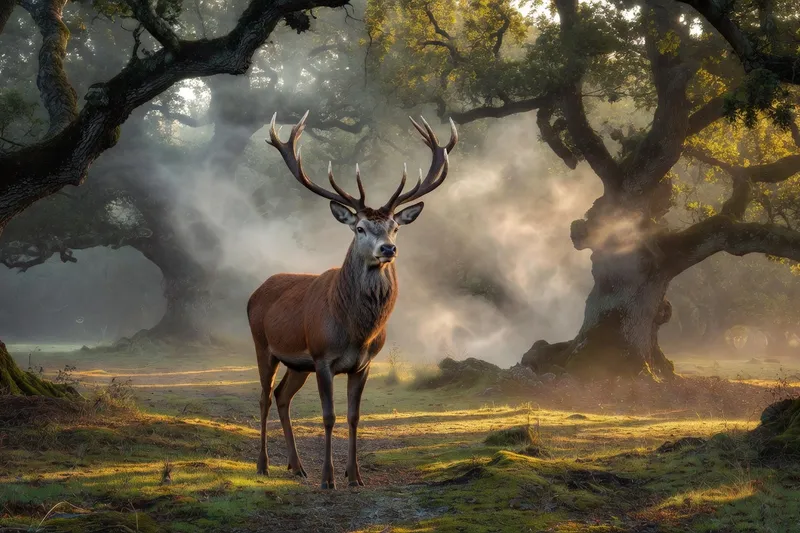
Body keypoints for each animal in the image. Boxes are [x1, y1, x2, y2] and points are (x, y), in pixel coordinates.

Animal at [247, 111, 457, 489]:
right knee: (263, 398)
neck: (356, 331)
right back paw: (264, 464)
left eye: (395, 227)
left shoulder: (363, 363)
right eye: (359, 228)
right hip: (263, 345)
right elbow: (329, 416)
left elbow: (354, 416)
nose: (388, 249)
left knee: (282, 396)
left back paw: (296, 466)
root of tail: (255, 292)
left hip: (296, 363)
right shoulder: (322, 357)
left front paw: (355, 475)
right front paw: (328, 478)